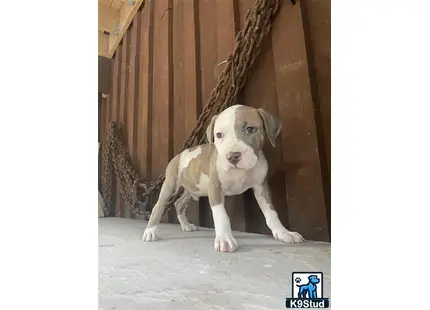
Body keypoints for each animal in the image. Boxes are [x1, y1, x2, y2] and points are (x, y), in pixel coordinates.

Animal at [143, 104, 304, 252]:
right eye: (219, 135)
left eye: (250, 129)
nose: (233, 156)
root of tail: (178, 155)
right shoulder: (215, 187)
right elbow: (221, 215)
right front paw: (225, 239)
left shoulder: (261, 187)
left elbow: (271, 212)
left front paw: (283, 232)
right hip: (170, 184)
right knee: (158, 206)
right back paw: (150, 232)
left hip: (192, 189)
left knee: (179, 203)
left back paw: (186, 225)